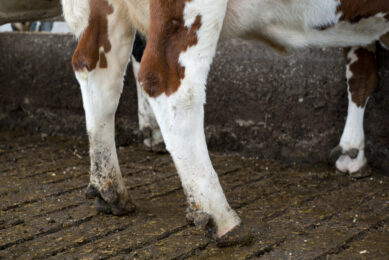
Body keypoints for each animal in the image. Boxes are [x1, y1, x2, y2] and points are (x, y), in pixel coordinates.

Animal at [62, 0, 388, 246]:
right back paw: (220, 217)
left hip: (105, 14)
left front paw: (352, 153)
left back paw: (109, 189)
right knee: (169, 84)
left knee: (95, 70)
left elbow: (361, 74)